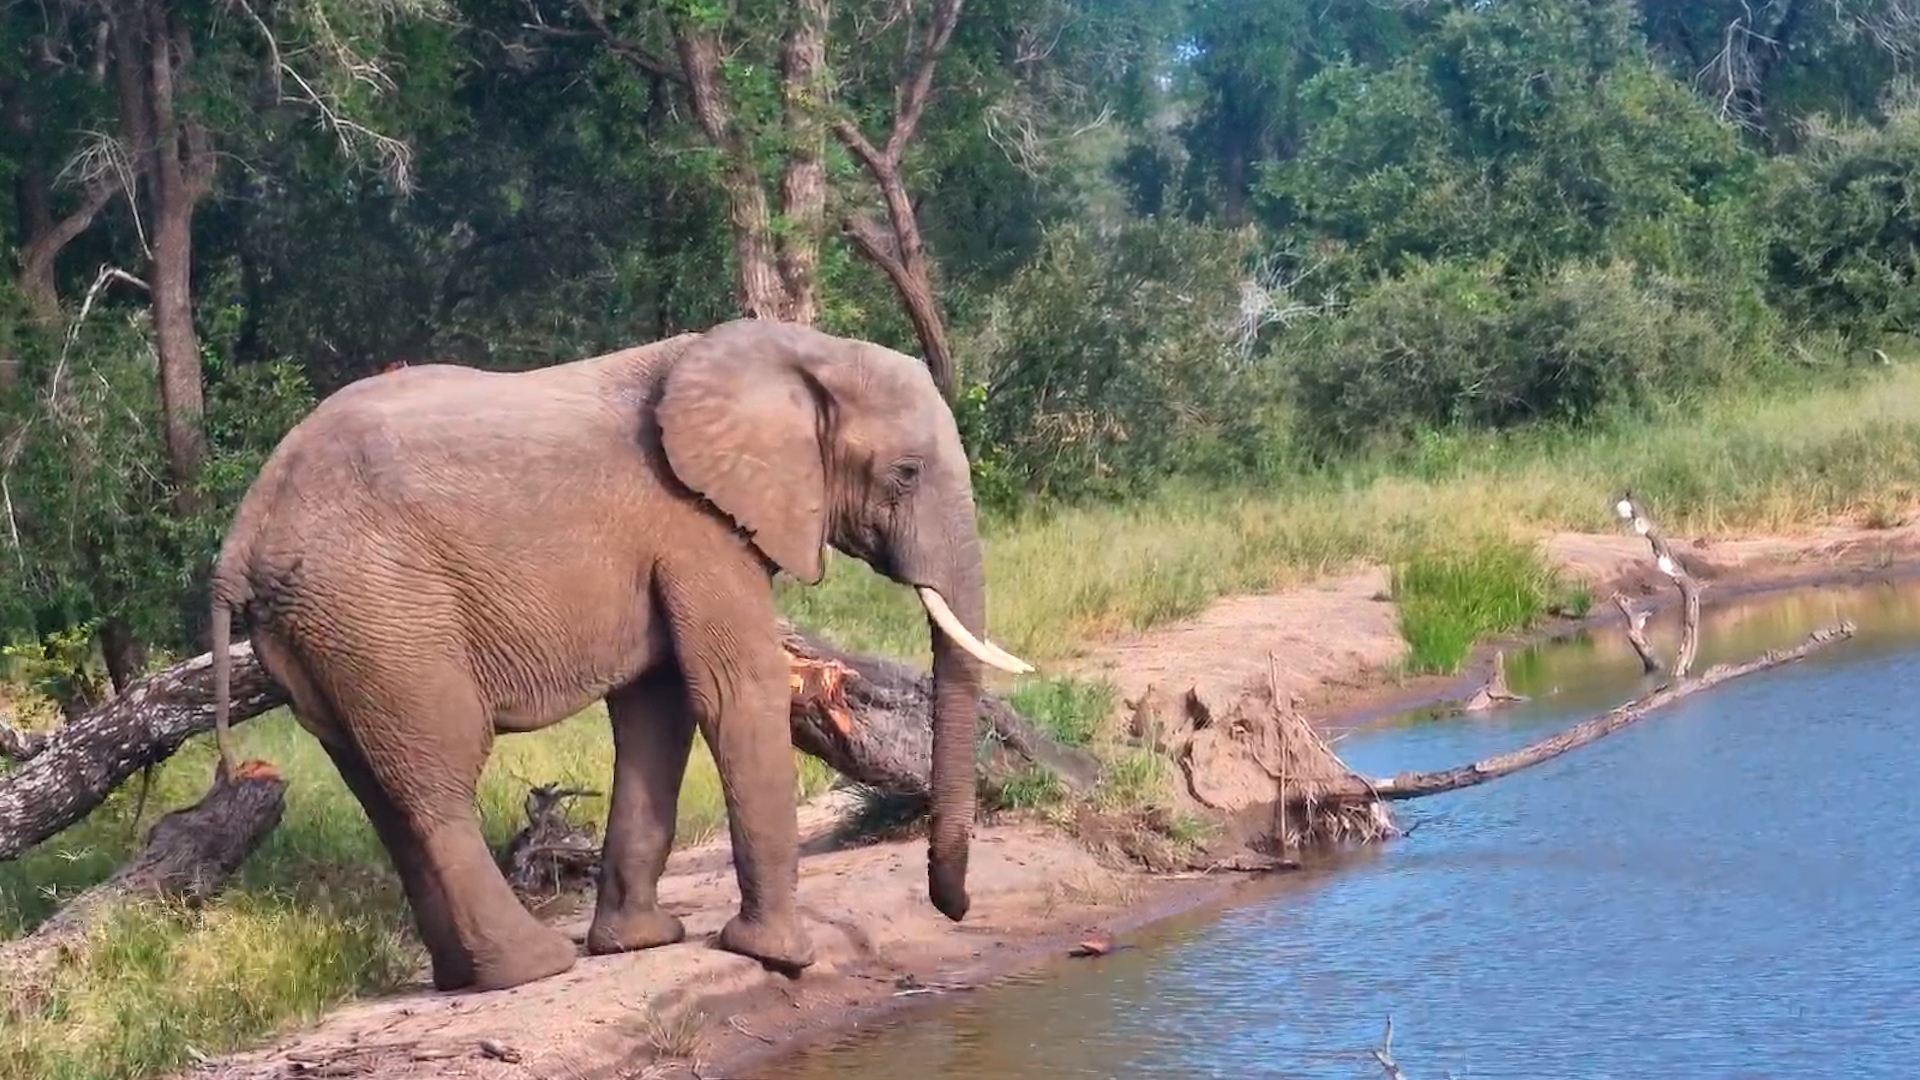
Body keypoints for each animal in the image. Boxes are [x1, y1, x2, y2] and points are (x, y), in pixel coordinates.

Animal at [204, 318, 1033, 993]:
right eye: (906, 474)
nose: (952, 908)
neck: (796, 351)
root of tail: (242, 535)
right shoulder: (697, 525)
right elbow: (737, 692)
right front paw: (782, 958)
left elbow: (657, 711)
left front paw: (642, 944)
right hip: (383, 613)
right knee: (438, 774)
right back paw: (532, 968)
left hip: (323, 634)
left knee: (377, 789)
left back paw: (463, 977)